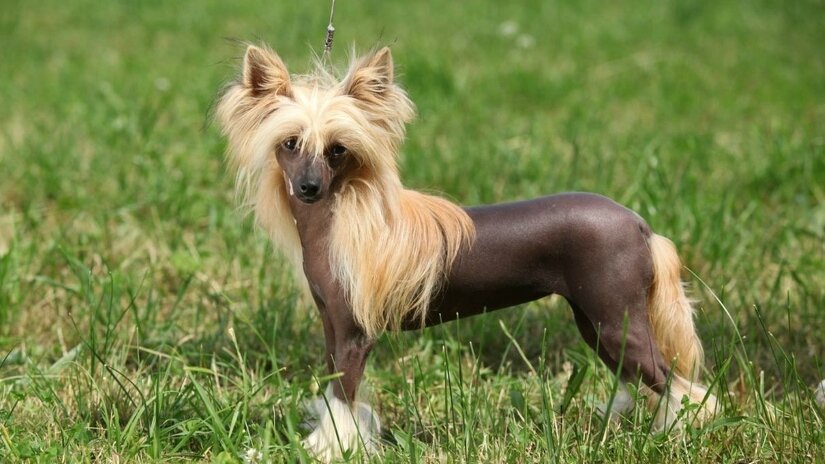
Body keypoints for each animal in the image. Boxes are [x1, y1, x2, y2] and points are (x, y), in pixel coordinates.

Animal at [216, 44, 716, 460]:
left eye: (338, 150)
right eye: (290, 143)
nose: (309, 188)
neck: (339, 222)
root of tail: (639, 224)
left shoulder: (355, 336)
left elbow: (344, 398)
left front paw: (331, 448)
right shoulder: (332, 329)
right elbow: (333, 387)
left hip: (616, 322)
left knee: (681, 387)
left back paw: (677, 436)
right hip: (598, 325)